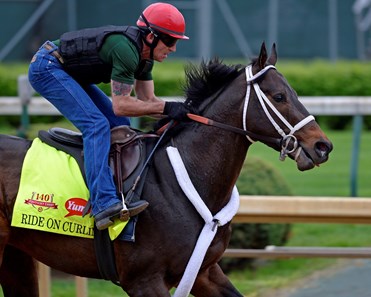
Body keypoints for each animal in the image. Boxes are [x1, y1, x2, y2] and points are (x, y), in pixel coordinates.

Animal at [0, 42, 332, 296]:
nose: (322, 146)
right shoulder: (144, 281)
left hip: (17, 256)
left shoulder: (204, 271)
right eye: (279, 96)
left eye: (293, 92)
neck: (185, 176)